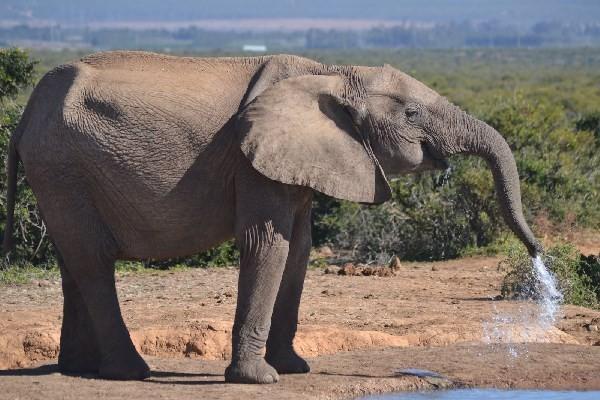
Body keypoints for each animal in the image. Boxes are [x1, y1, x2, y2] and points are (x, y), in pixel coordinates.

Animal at [2, 51, 540, 382]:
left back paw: (77, 369)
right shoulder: (252, 158)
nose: (538, 254)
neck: (333, 72)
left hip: (59, 171)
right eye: (410, 114)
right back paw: (130, 372)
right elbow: (268, 242)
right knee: (93, 261)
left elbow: (298, 249)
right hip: (62, 164)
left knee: (73, 260)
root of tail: (25, 114)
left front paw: (295, 368)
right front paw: (259, 379)